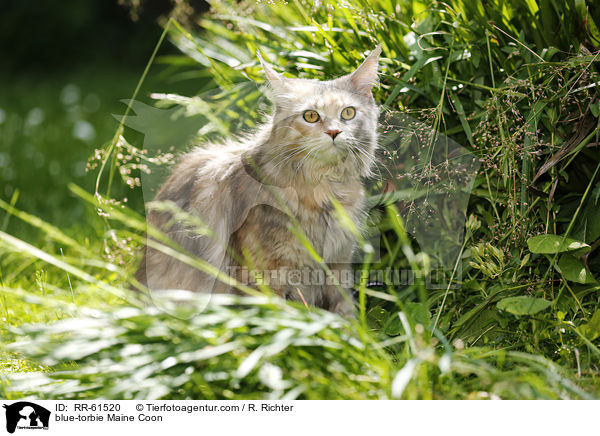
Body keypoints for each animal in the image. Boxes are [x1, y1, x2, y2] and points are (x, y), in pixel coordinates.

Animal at [135, 46, 380, 316]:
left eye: (348, 113)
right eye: (311, 116)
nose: (334, 132)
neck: (324, 189)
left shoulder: (339, 263)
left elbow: (345, 311)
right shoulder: (266, 273)